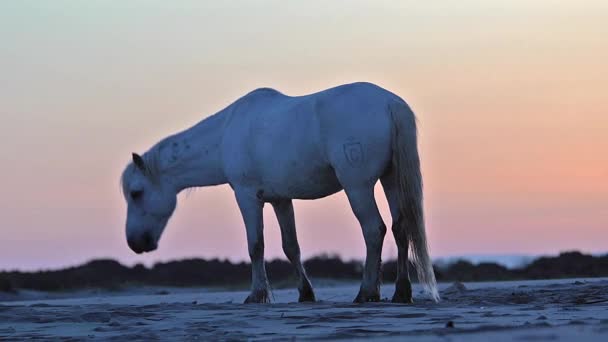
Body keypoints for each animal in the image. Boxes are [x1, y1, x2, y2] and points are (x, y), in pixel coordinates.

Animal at [121, 82, 440, 302]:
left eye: (136, 193)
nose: (135, 243)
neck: (226, 134)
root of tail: (389, 103)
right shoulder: (280, 200)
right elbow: (291, 247)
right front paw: (305, 293)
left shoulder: (247, 198)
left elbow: (256, 245)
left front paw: (257, 295)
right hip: (391, 180)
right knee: (401, 229)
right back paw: (401, 293)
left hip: (358, 187)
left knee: (374, 230)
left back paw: (366, 292)